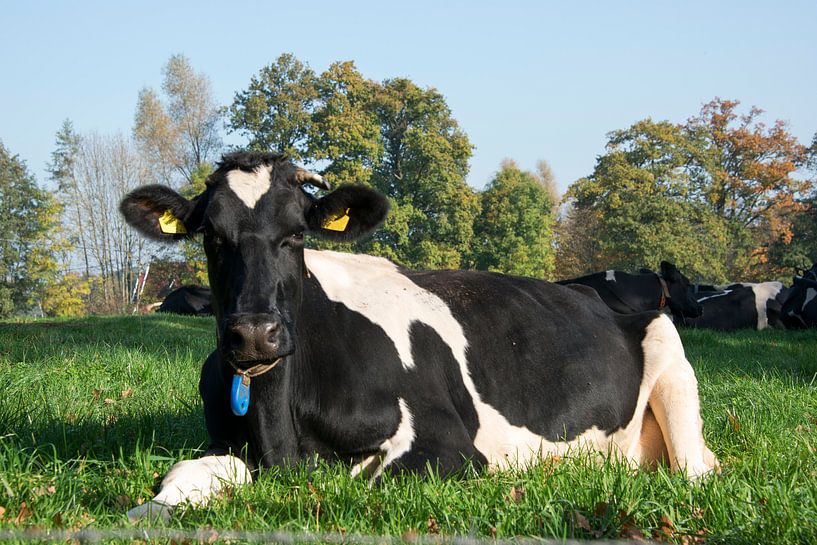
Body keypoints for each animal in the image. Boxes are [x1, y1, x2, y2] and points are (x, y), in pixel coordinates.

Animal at [118, 152, 716, 520]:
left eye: (296, 235)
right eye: (210, 237)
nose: (253, 335)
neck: (280, 428)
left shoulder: (448, 448)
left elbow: (363, 478)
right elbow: (191, 472)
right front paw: (146, 511)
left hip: (672, 358)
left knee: (697, 470)